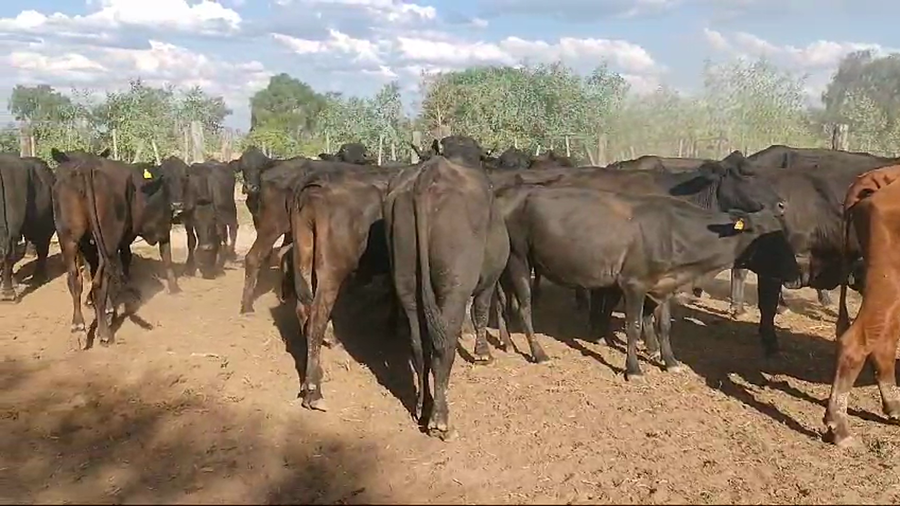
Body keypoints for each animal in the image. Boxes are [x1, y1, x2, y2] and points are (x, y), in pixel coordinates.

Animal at [383, 145, 515, 440]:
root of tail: (429, 175)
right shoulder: (488, 280)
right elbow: (480, 311)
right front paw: (482, 353)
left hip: (406, 281)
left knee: (419, 345)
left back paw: (423, 406)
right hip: (454, 285)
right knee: (444, 345)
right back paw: (439, 419)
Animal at [498, 185, 799, 380]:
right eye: (765, 236)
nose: (796, 275)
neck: (673, 232)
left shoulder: (664, 285)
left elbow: (664, 325)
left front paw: (671, 361)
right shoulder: (633, 283)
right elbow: (632, 327)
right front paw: (633, 369)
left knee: (500, 302)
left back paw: (505, 341)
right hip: (518, 258)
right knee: (523, 306)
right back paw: (538, 352)